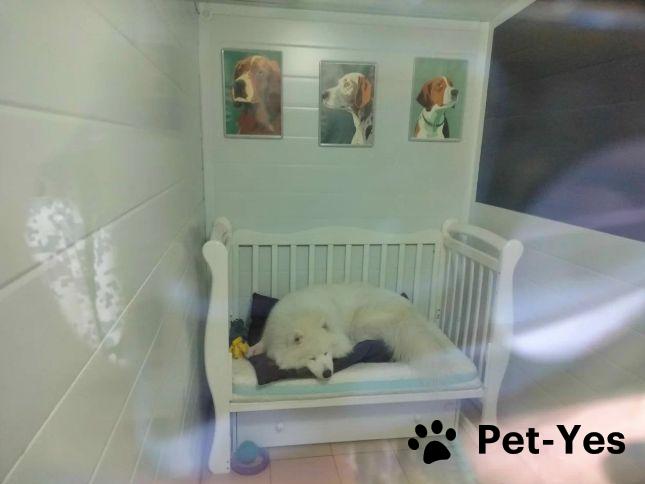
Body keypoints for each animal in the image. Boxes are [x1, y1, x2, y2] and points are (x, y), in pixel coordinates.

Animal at [248, 283, 446, 380]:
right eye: (312, 358)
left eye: (326, 353)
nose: (328, 373)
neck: (302, 316)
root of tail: (409, 312)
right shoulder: (272, 333)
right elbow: (262, 342)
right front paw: (252, 349)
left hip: (363, 319)